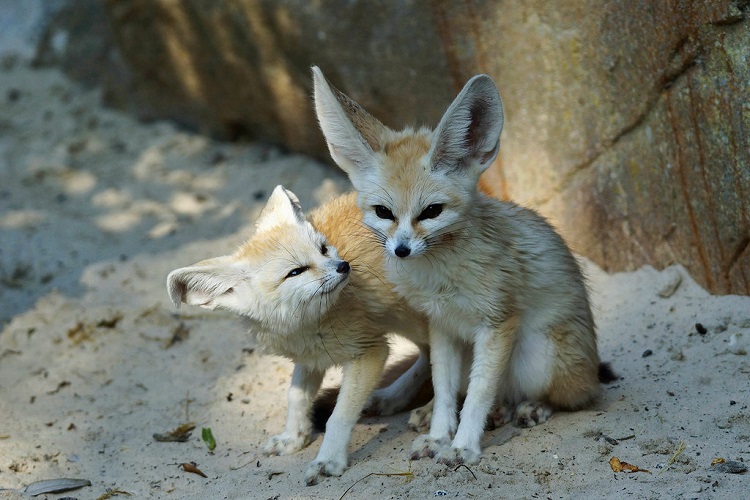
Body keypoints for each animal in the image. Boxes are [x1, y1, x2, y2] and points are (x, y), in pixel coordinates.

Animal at [167, 187, 432, 484]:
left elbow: (339, 416)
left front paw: (329, 459)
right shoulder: (310, 356)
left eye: (323, 249)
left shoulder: (370, 351)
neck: (306, 324)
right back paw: (394, 398)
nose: (344, 266)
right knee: (428, 356)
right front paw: (293, 437)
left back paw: (431, 413)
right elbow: (295, 398)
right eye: (296, 272)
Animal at [314, 64, 612, 466]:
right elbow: (444, 390)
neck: (441, 275)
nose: (401, 250)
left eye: (431, 212)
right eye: (383, 213)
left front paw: (463, 446)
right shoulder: (443, 327)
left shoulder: (497, 324)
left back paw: (532, 407)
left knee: (571, 396)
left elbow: (478, 394)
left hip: (537, 354)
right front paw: (440, 437)